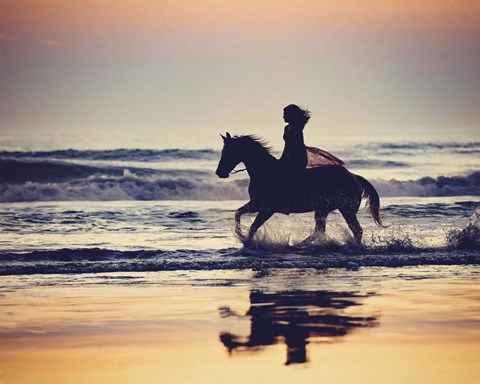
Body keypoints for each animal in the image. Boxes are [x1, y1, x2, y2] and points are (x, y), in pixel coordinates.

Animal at [215, 134, 382, 244]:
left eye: (229, 151)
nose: (219, 172)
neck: (265, 172)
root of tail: (354, 176)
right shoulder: (257, 204)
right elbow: (238, 213)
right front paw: (240, 234)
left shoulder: (267, 208)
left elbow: (253, 227)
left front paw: (246, 241)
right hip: (324, 209)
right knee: (322, 230)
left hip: (344, 210)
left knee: (355, 230)